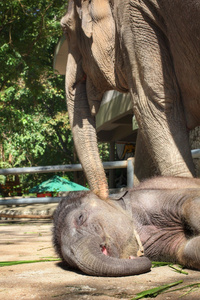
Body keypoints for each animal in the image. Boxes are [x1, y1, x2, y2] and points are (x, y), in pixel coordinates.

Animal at [52, 176, 200, 276]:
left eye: (80, 218)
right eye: (70, 262)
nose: (132, 257)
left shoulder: (151, 197)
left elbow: (190, 201)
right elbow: (186, 250)